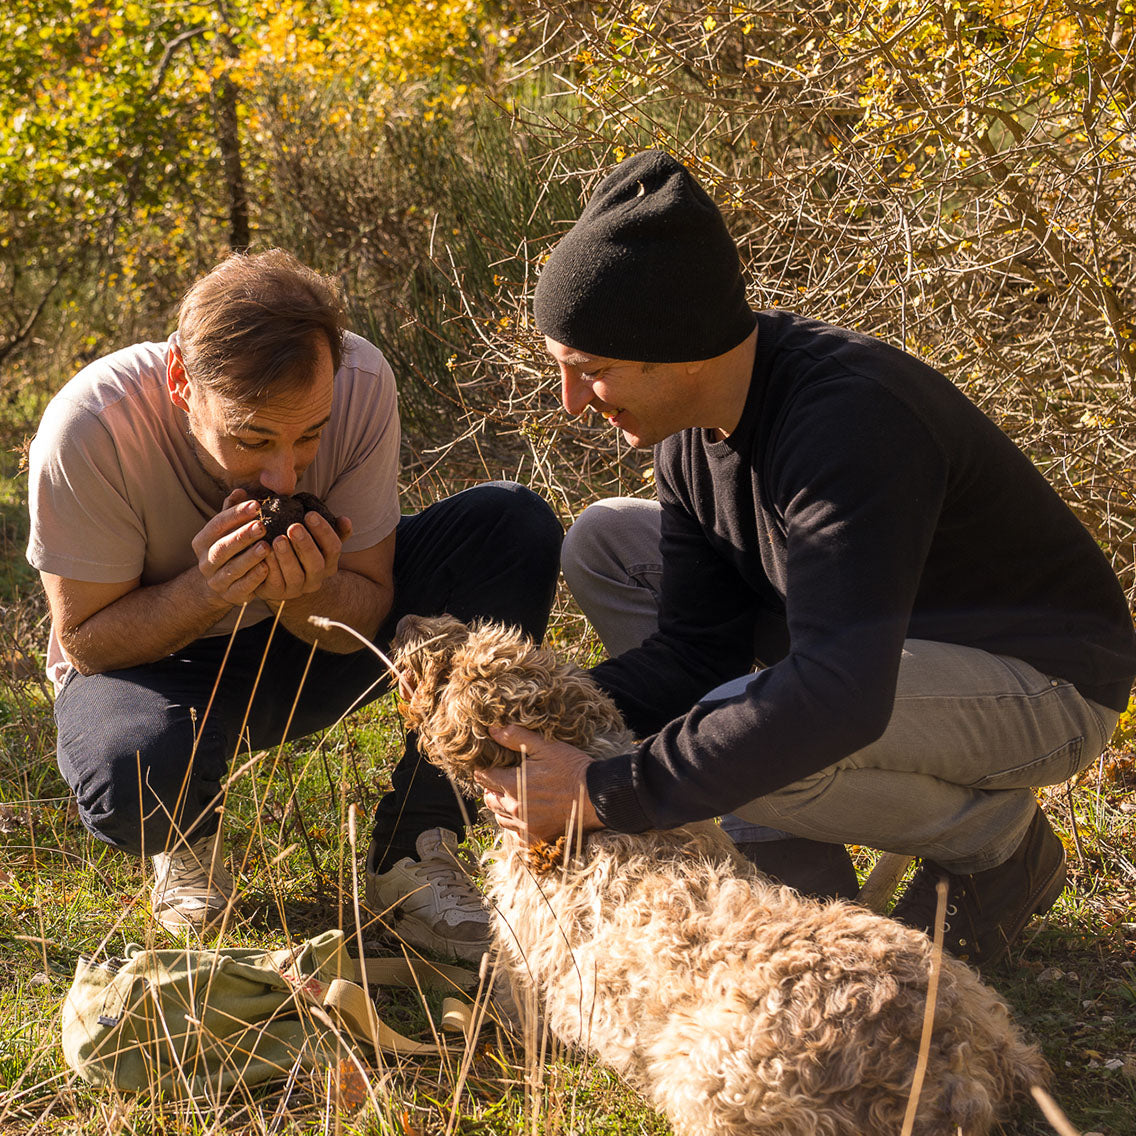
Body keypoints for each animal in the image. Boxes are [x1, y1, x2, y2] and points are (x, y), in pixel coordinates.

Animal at [395, 617, 1049, 1136]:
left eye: (450, 664)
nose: (404, 622)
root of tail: (959, 1066)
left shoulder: (525, 961)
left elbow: (515, 1008)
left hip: (714, 1086)